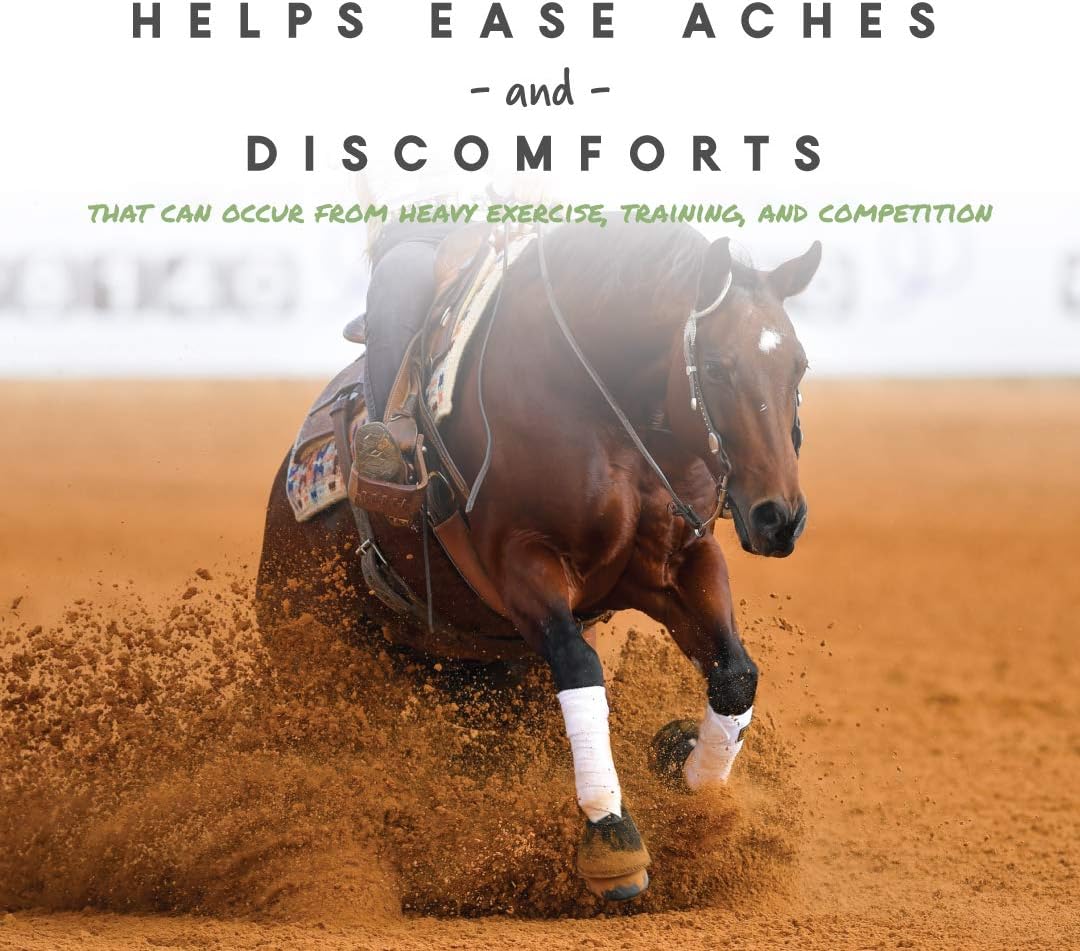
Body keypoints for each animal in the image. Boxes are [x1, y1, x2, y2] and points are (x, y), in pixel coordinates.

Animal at [257, 220, 820, 901]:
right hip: (309, 649)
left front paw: (690, 784)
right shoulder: (522, 564)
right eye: (715, 366)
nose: (778, 516)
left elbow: (735, 674)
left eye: (799, 364)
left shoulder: (682, 559)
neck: (602, 401)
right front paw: (612, 839)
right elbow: (580, 668)